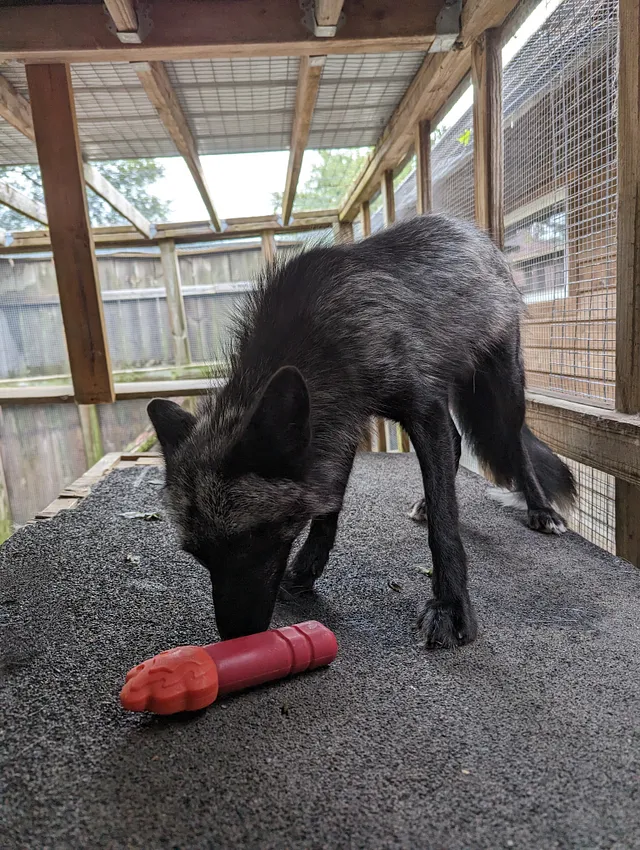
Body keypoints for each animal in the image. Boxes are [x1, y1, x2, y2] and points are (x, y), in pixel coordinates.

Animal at [149, 215, 576, 644]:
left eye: (254, 537)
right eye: (199, 555)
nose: (237, 636)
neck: (321, 337)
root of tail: (470, 231)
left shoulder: (422, 408)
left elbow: (444, 524)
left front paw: (450, 605)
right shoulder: (346, 421)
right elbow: (329, 505)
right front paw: (305, 572)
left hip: (504, 387)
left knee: (514, 443)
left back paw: (540, 509)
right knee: (455, 443)